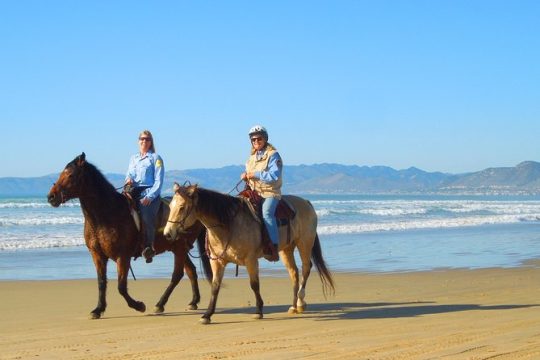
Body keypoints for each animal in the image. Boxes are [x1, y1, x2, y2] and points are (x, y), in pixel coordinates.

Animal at [47, 153, 211, 320]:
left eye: (70, 175)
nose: (51, 197)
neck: (107, 214)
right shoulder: (97, 255)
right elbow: (101, 282)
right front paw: (98, 309)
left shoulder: (123, 255)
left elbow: (121, 286)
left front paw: (139, 306)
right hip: (178, 248)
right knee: (191, 271)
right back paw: (193, 301)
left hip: (179, 248)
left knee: (177, 275)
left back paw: (160, 304)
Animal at [162, 183, 336, 324]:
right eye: (170, 206)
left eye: (182, 207)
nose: (167, 233)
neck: (228, 225)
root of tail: (306, 202)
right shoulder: (217, 262)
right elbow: (215, 287)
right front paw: (207, 315)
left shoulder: (251, 260)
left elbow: (254, 284)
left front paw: (259, 311)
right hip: (287, 249)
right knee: (294, 272)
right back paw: (293, 306)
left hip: (305, 243)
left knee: (306, 267)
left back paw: (300, 302)